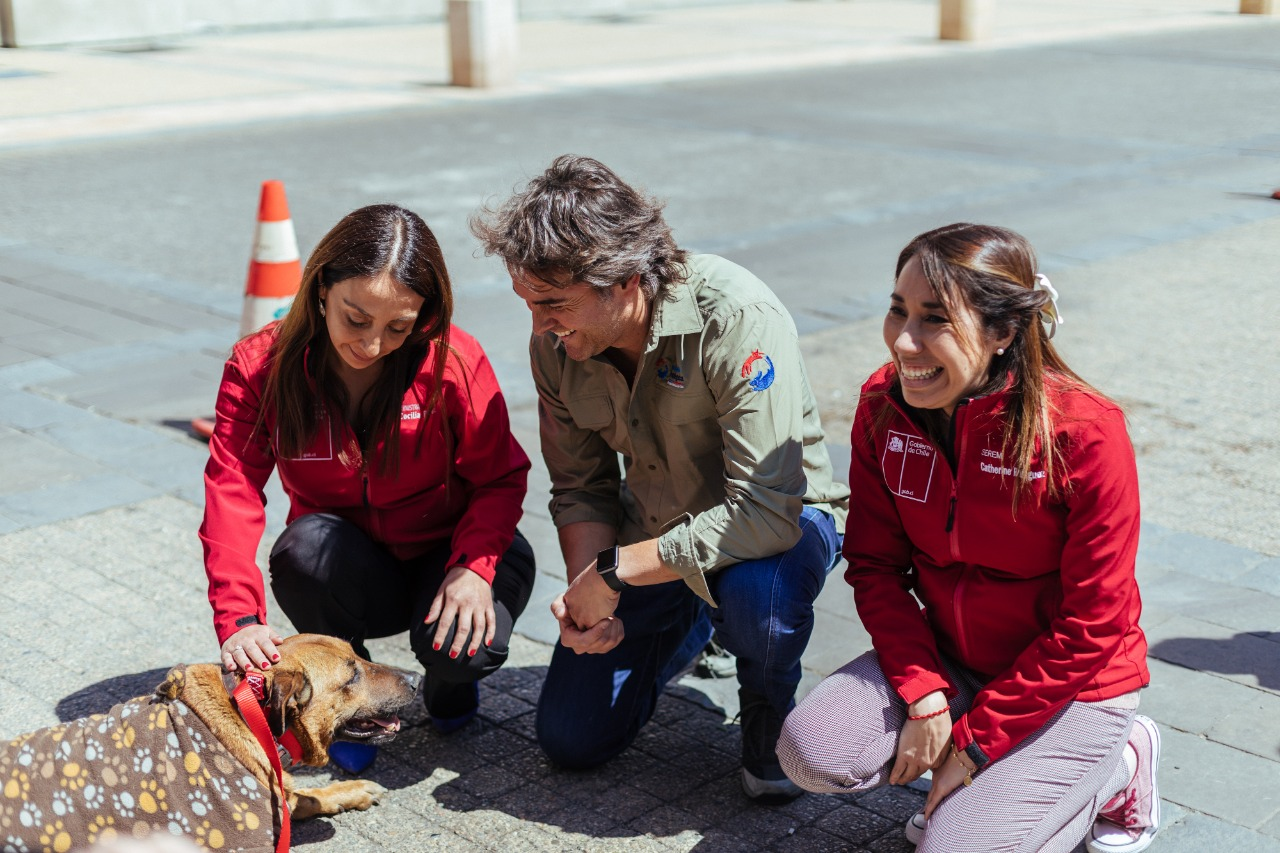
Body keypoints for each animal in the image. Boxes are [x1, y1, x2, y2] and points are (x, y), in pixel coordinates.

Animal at [0, 635, 417, 845]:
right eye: (351, 676)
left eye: (359, 656)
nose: (416, 678)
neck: (249, 717)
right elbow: (302, 798)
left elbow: (306, 795)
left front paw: (350, 791)